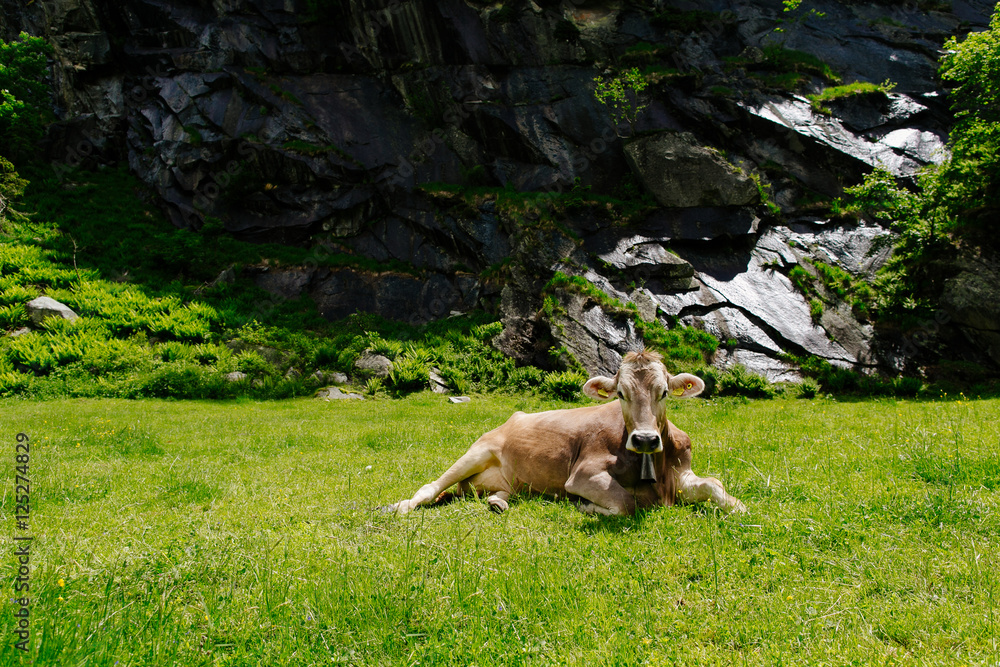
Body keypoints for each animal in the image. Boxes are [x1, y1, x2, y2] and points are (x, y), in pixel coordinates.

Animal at [389, 350, 746, 516]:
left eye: (664, 393)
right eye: (620, 394)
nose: (645, 439)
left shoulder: (682, 473)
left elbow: (716, 486)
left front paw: (737, 507)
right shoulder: (584, 474)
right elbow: (625, 503)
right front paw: (586, 507)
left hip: (510, 481)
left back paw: (498, 503)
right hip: (477, 451)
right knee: (431, 487)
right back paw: (400, 507)